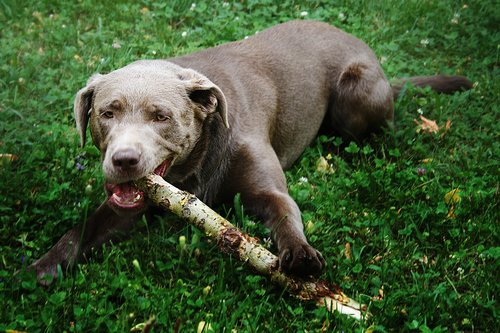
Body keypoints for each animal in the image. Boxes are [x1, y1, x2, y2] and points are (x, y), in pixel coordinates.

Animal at [29, 19, 470, 282]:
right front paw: (39, 270)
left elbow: (284, 212)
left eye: (161, 116)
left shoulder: (267, 189)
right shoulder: (129, 207)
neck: (196, 166)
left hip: (356, 98)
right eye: (107, 112)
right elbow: (78, 231)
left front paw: (300, 254)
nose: (123, 160)